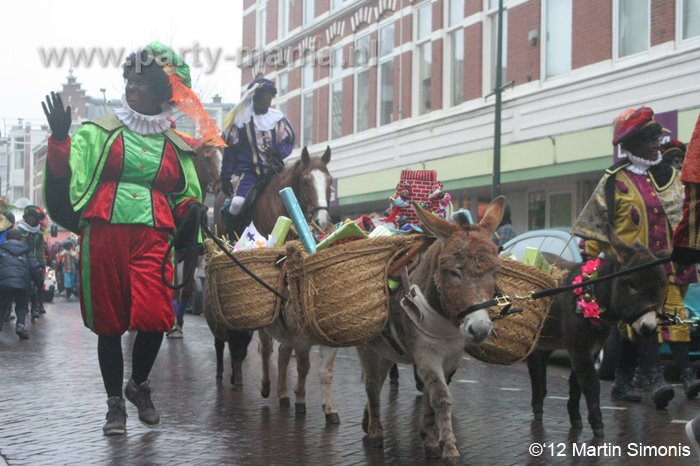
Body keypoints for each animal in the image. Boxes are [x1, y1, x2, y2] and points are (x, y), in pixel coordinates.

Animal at [356, 198, 504, 466]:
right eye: (453, 271)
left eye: (495, 271)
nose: (479, 329)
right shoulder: (426, 353)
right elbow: (441, 397)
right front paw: (450, 449)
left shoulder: (452, 356)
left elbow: (429, 397)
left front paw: (430, 439)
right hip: (367, 346)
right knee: (372, 384)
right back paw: (375, 432)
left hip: (388, 350)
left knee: (379, 380)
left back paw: (367, 420)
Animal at [524, 225, 668, 436]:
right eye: (631, 284)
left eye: (661, 285)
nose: (649, 327)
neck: (591, 293)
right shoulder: (579, 349)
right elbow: (591, 383)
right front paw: (597, 424)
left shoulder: (590, 350)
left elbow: (576, 383)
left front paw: (575, 417)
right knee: (535, 372)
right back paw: (537, 409)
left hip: (546, 341)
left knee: (539, 370)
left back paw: (538, 405)